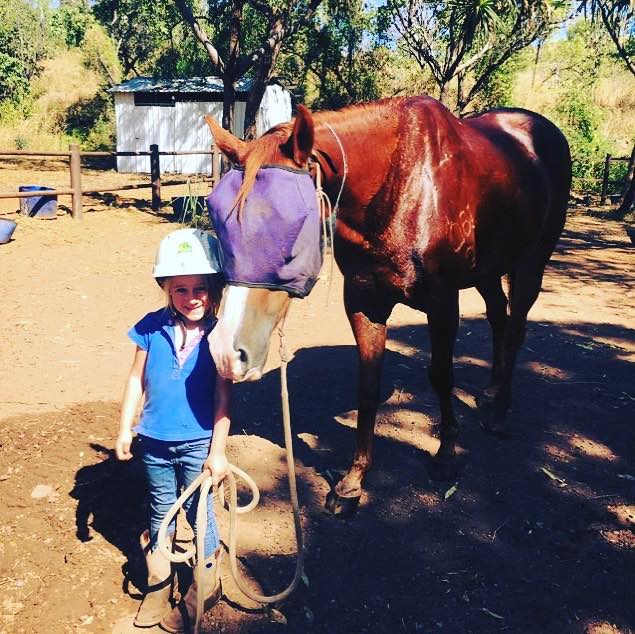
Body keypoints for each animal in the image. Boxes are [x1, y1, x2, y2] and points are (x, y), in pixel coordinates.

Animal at [204, 97, 572, 512]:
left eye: (294, 224)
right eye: (217, 217)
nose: (225, 352)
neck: (399, 187)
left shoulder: (443, 304)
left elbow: (441, 376)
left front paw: (446, 454)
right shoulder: (364, 302)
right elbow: (367, 387)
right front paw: (352, 482)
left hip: (530, 263)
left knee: (515, 329)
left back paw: (499, 412)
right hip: (488, 270)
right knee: (498, 316)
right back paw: (492, 392)